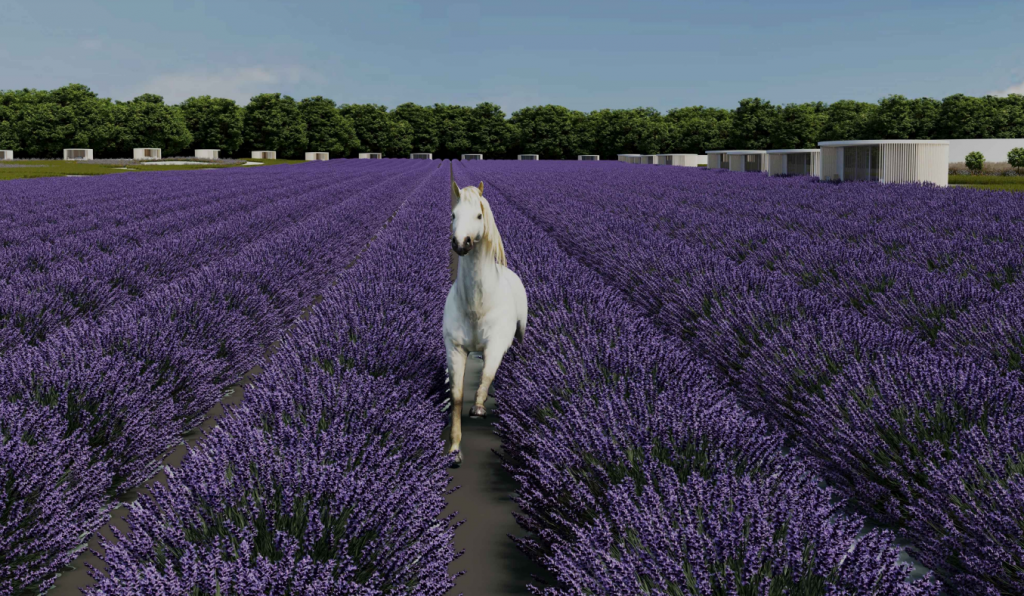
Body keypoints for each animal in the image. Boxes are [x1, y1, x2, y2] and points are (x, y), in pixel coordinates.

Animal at [442, 162, 528, 466]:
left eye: (479, 215)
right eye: (453, 215)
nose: (460, 243)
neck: (476, 306)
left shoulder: (497, 344)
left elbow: (487, 375)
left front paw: (479, 406)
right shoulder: (454, 349)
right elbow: (456, 397)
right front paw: (454, 449)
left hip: (520, 334)